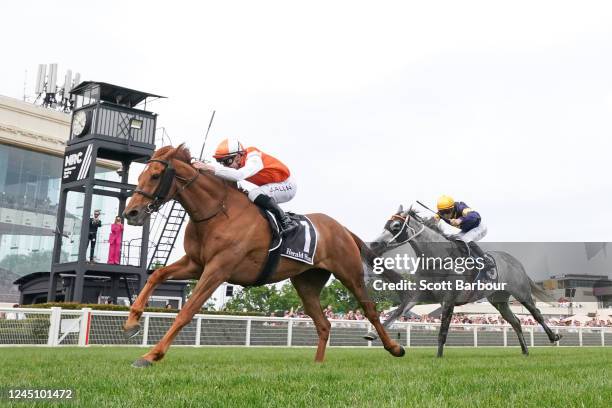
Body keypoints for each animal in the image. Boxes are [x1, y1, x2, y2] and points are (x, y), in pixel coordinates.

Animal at [122, 145, 404, 368]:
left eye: (155, 176)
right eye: (140, 175)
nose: (131, 213)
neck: (217, 212)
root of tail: (342, 228)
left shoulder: (218, 269)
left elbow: (187, 311)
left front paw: (150, 356)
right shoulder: (196, 263)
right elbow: (157, 275)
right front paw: (132, 323)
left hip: (349, 273)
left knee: (370, 309)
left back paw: (394, 348)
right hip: (306, 283)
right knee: (324, 323)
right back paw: (317, 364)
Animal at [364, 206, 560, 356]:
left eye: (396, 225)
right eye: (386, 223)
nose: (373, 244)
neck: (438, 259)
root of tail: (515, 261)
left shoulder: (449, 299)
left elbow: (443, 331)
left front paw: (438, 357)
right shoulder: (419, 295)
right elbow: (396, 312)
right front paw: (372, 334)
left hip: (521, 292)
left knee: (536, 314)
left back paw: (553, 337)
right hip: (499, 300)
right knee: (516, 322)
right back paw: (525, 351)